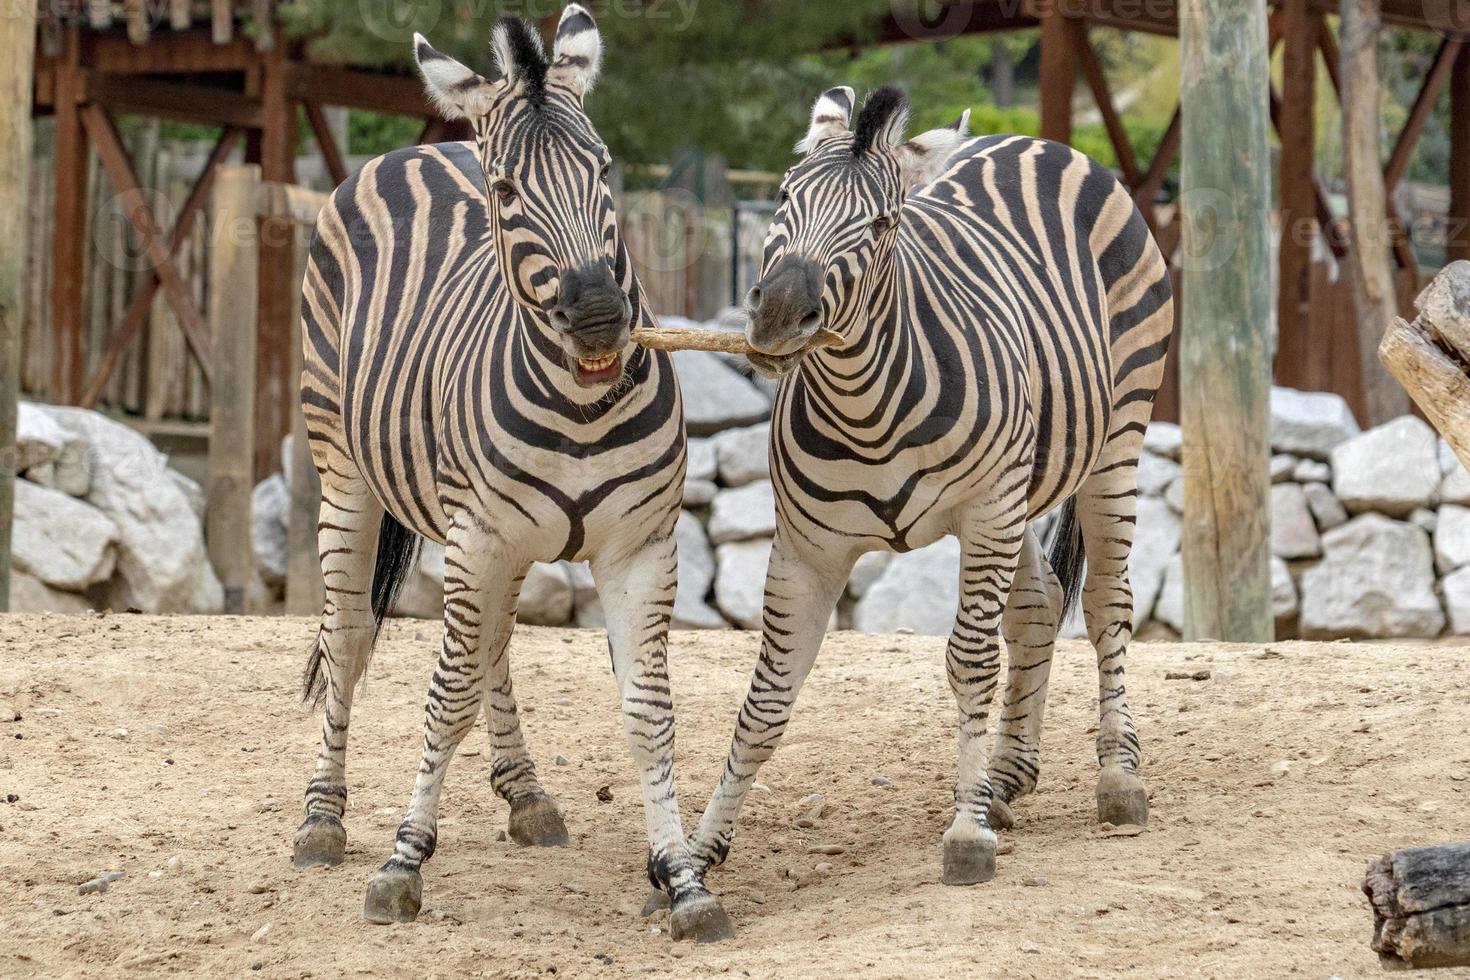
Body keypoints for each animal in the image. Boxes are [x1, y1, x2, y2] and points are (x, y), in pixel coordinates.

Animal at [288, 7, 735, 940]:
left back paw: (525, 794)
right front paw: (401, 864)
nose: (599, 316)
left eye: (602, 169)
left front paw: (683, 878)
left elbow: (648, 709)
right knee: (347, 638)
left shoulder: (640, 546)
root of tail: (418, 148)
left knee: (490, 640)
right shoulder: (481, 535)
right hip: (345, 471)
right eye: (505, 192)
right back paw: (322, 818)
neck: (581, 402)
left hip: (503, 541)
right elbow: (444, 694)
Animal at [685, 88, 1170, 893]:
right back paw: (1005, 777)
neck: (864, 405)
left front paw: (967, 834)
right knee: (1038, 606)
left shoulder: (986, 510)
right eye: (782, 198)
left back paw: (1118, 777)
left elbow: (969, 663)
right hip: (1020, 490)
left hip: (1113, 442)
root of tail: (1037, 141)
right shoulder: (808, 549)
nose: (778, 315)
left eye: (882, 224)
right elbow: (765, 698)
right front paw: (696, 854)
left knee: (1107, 604)